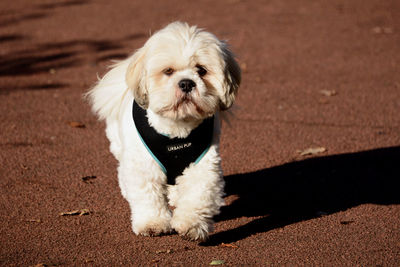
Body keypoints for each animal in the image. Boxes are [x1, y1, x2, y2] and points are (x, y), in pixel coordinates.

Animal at [87, 22, 241, 242]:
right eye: (168, 71)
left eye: (201, 70)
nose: (186, 82)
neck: (177, 131)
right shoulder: (143, 166)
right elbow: (147, 196)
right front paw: (153, 223)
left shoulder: (203, 165)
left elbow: (198, 195)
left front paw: (191, 224)